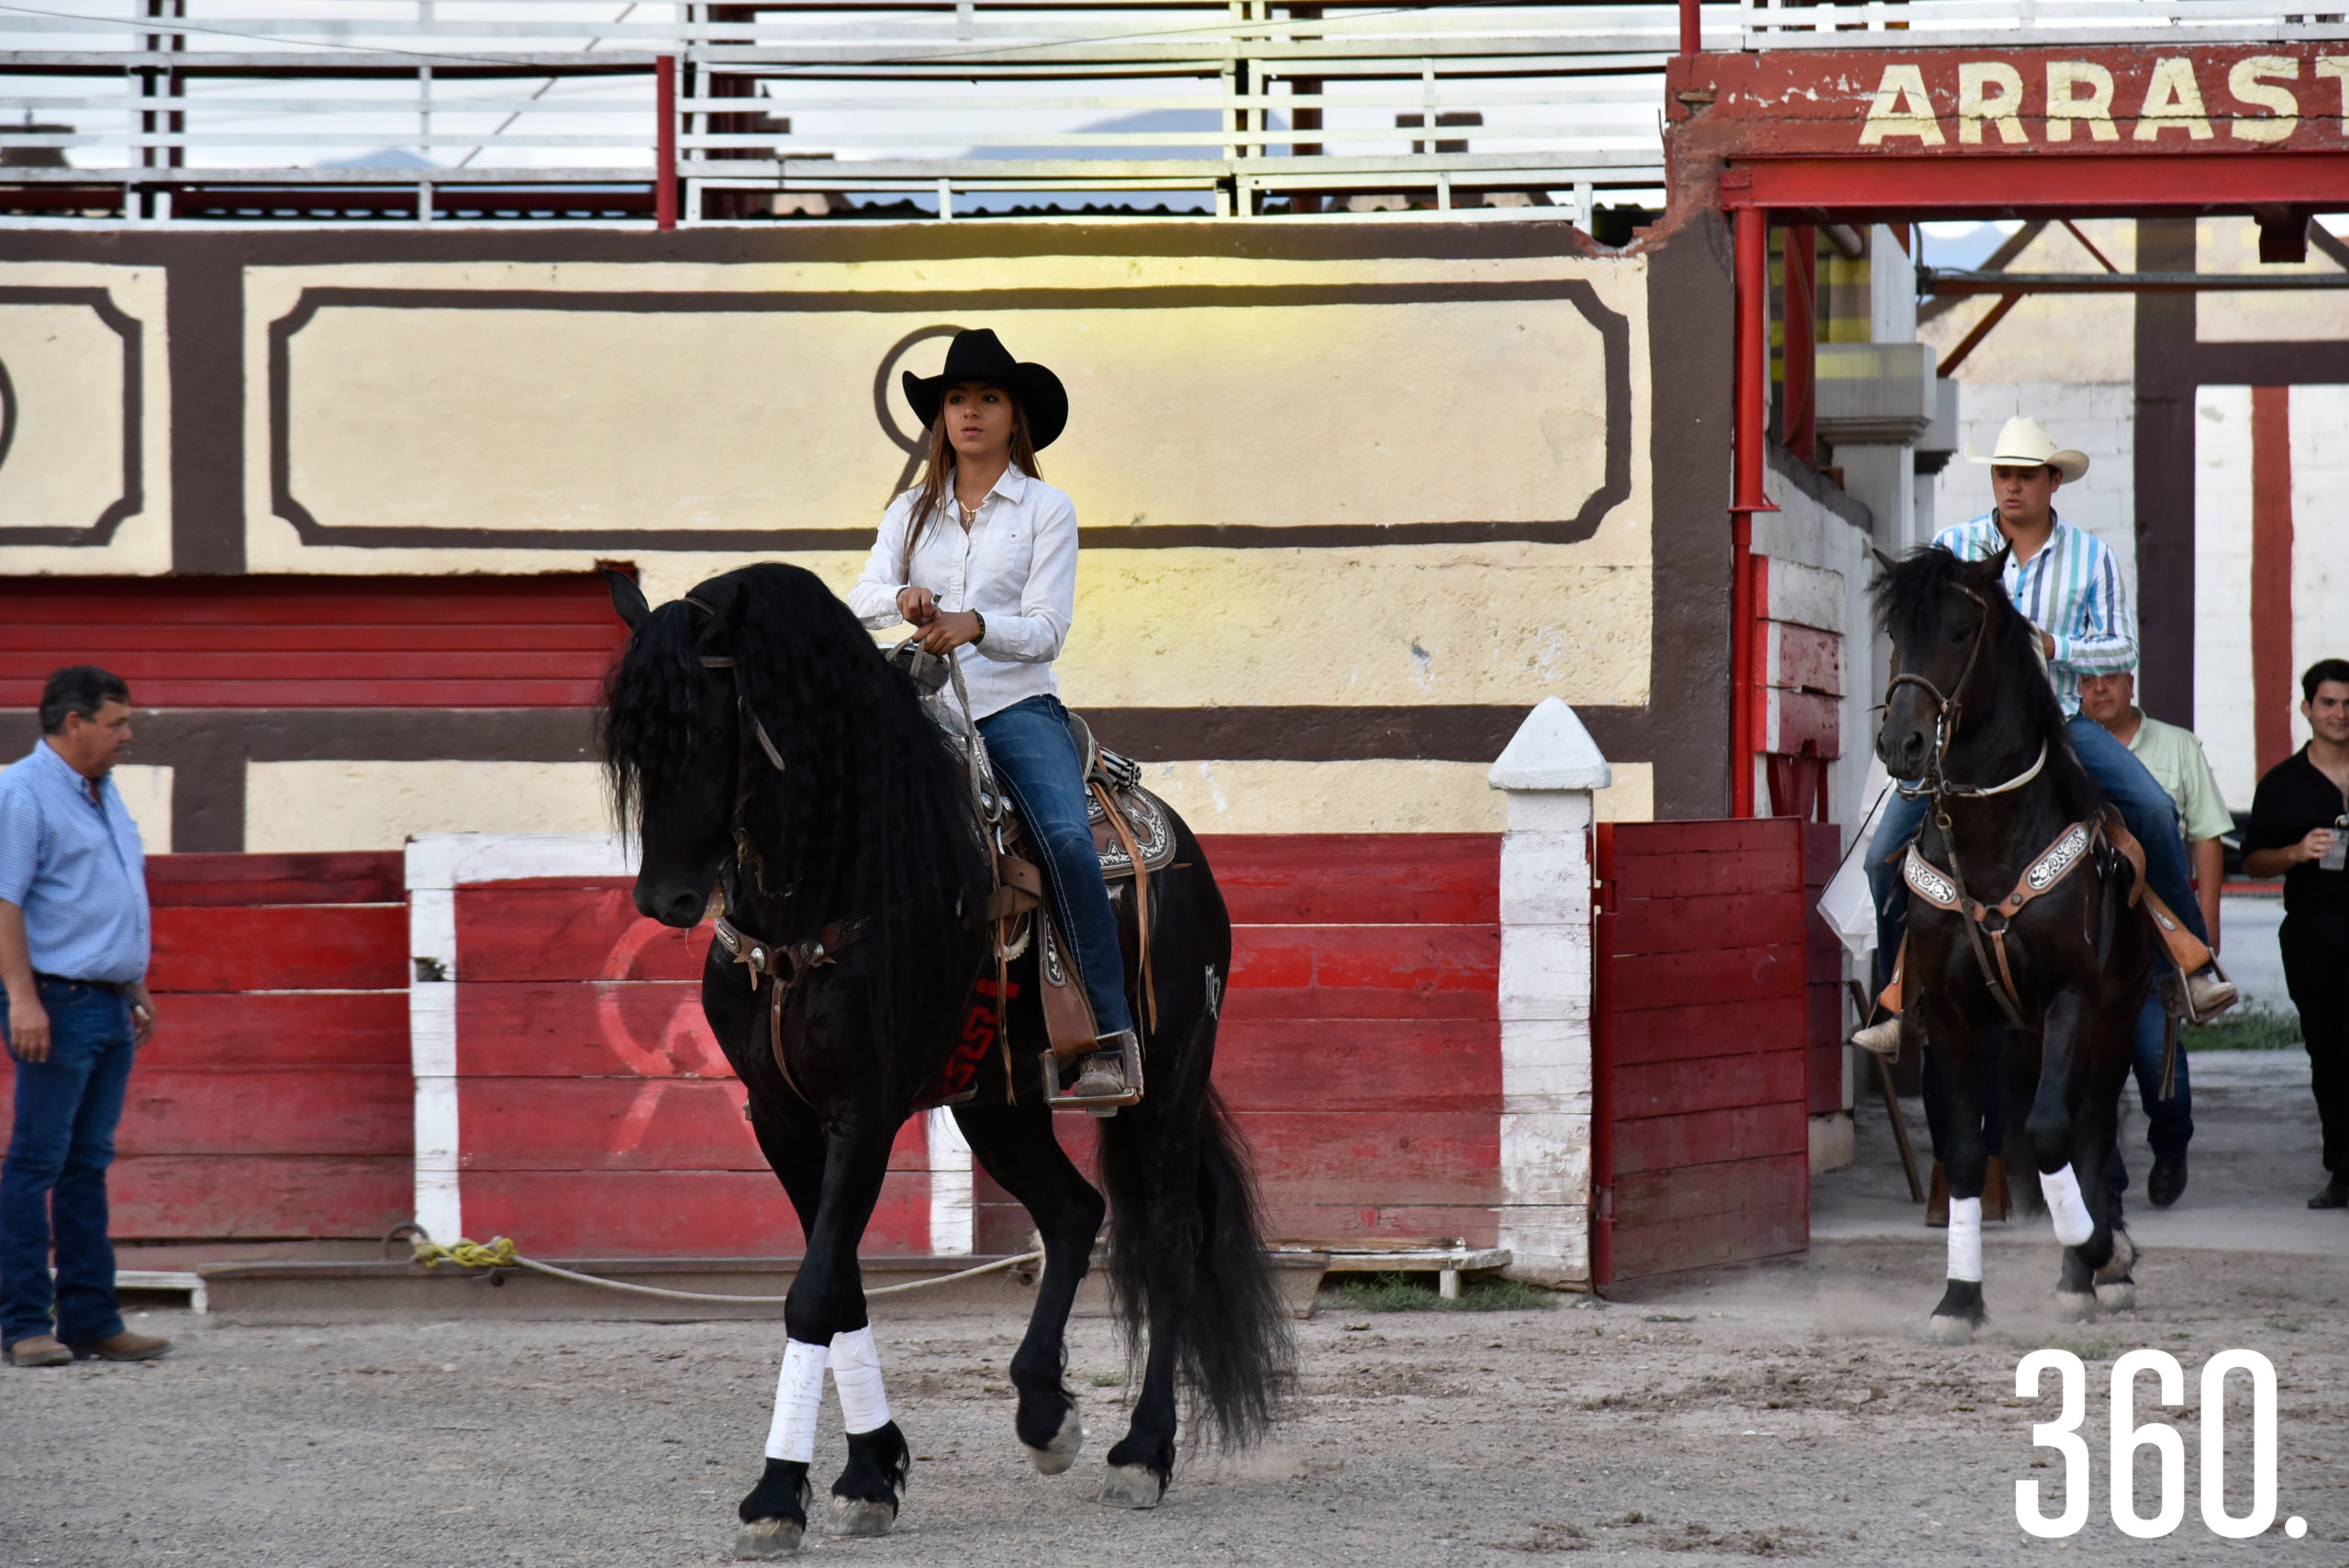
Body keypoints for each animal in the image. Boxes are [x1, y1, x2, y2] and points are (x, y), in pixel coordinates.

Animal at [596, 563, 1297, 1558]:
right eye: (629, 739)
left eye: (706, 726)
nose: (666, 897)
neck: (827, 888)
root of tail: (1180, 845)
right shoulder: (779, 1114)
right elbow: (841, 1284)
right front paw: (870, 1469)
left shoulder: (866, 1107)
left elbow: (815, 1291)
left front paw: (779, 1492)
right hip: (995, 1102)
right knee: (1073, 1210)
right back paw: (1045, 1412)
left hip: (1166, 1079)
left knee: (1166, 1236)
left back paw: (1142, 1450)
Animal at [1879, 544, 2151, 1342]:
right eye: (1895, 633)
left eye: (1961, 630)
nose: (1901, 743)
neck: (1990, 840)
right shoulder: (1951, 1011)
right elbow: (1969, 1154)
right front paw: (1958, 1299)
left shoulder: (2069, 995)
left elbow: (2054, 1131)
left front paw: (2098, 1249)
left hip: (2115, 1019)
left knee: (2090, 1129)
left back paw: (2091, 1271)